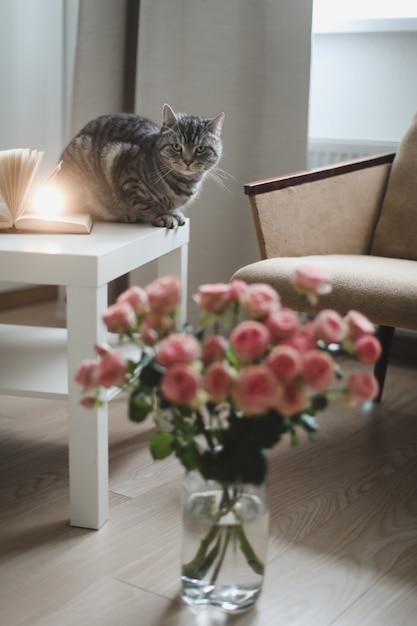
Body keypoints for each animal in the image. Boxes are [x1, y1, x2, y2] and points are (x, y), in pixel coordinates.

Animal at [57, 103, 224, 228]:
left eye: (200, 149)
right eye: (177, 146)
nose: (187, 161)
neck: (184, 184)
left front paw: (174, 213)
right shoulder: (128, 177)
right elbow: (148, 205)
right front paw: (164, 215)